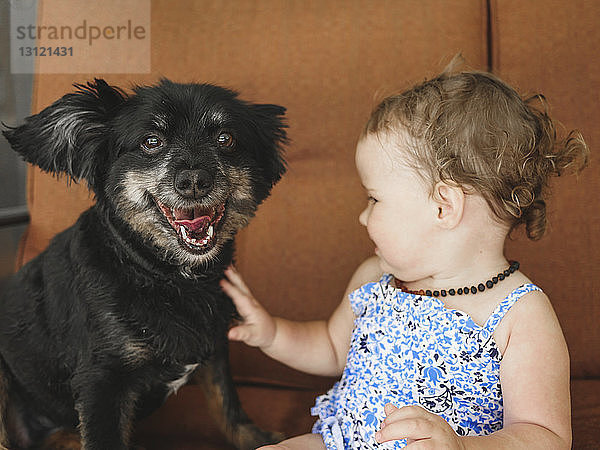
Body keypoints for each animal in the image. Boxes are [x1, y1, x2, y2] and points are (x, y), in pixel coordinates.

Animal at [0, 79, 286, 448]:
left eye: (225, 138)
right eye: (152, 142)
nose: (194, 181)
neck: (169, 276)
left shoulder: (214, 345)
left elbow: (227, 402)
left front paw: (256, 438)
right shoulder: (101, 380)